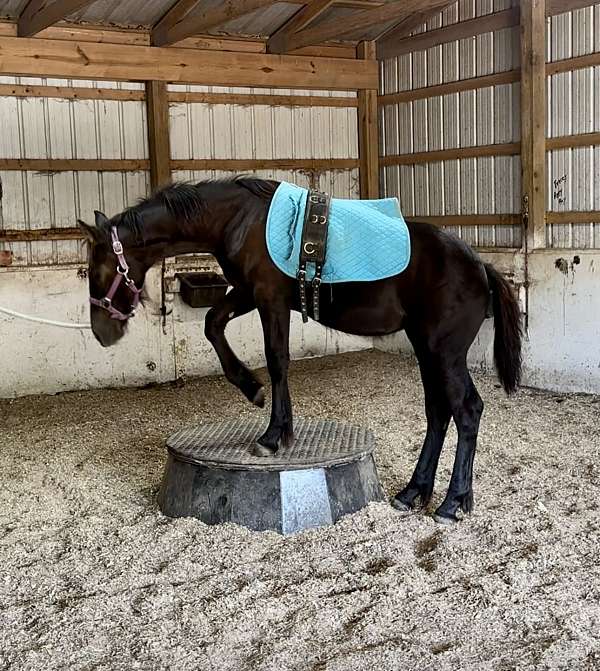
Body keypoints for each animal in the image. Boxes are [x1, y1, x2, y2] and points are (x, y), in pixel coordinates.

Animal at [78, 178, 520, 524]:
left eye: (98, 270)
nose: (101, 332)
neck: (239, 220)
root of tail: (480, 266)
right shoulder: (246, 293)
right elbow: (213, 325)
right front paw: (250, 388)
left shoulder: (269, 299)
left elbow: (277, 360)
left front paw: (273, 434)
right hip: (426, 350)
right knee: (438, 412)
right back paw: (414, 492)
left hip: (444, 353)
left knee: (467, 410)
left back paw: (453, 503)